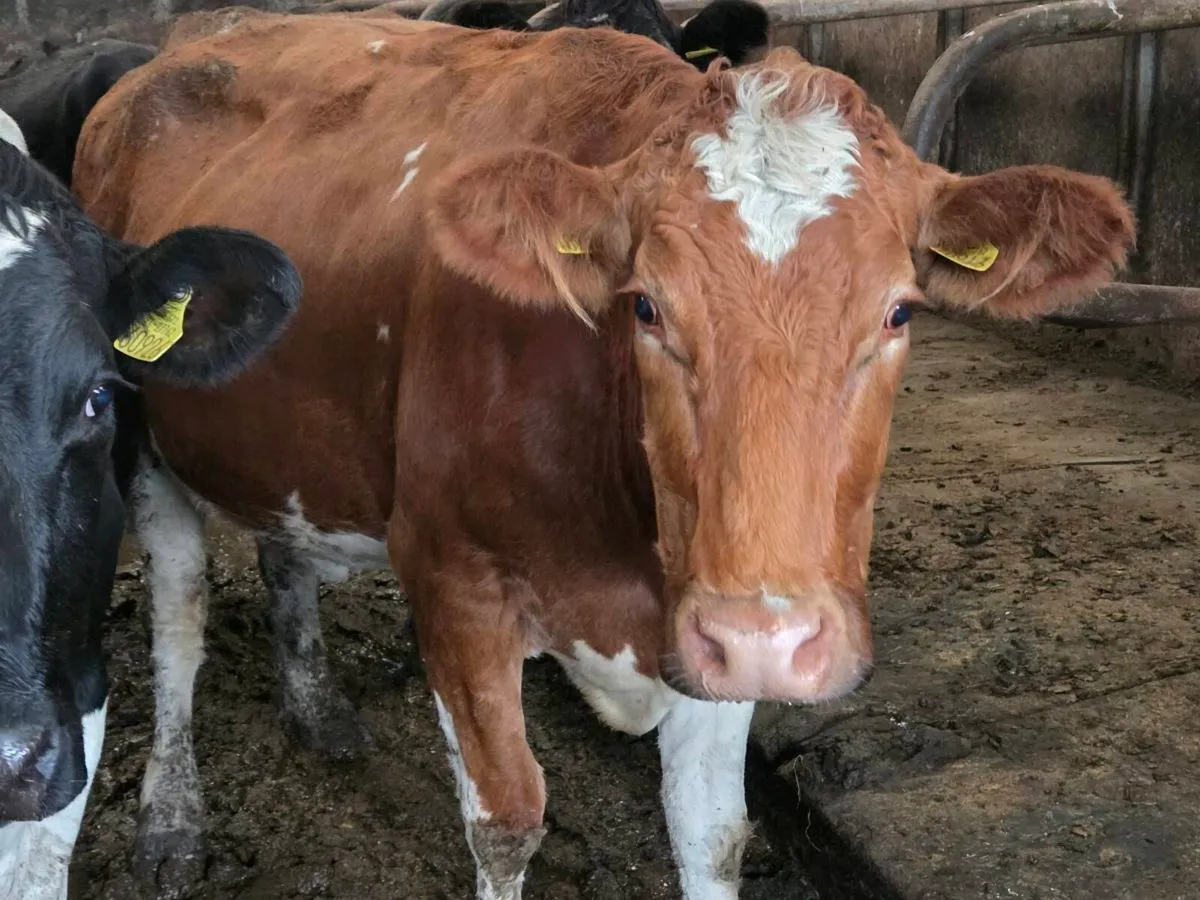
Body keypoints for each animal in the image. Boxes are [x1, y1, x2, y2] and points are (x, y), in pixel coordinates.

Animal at [73, 11, 1135, 899]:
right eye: (647, 306)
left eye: (901, 310)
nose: (772, 636)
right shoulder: (452, 579)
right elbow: (506, 820)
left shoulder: (706, 622)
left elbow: (711, 831)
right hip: (136, 442)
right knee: (178, 616)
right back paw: (171, 819)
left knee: (280, 543)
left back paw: (317, 710)